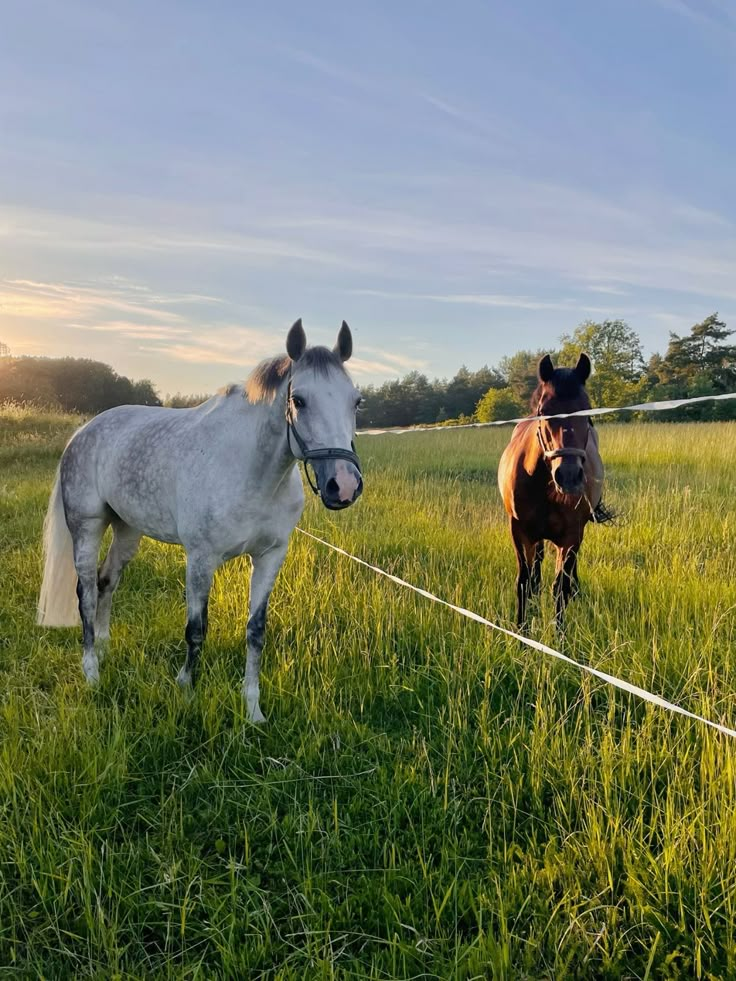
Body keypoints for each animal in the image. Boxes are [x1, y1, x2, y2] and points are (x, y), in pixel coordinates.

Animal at [37, 322, 366, 720]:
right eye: (299, 400)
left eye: (356, 401)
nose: (343, 486)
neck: (248, 469)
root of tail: (82, 432)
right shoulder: (200, 559)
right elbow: (196, 629)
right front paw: (187, 693)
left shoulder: (270, 557)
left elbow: (256, 630)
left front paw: (253, 710)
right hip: (86, 528)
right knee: (85, 594)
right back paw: (92, 673)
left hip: (127, 531)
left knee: (106, 583)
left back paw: (103, 649)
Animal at [494, 352, 608, 628]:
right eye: (544, 411)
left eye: (587, 410)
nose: (568, 475)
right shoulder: (520, 532)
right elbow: (524, 582)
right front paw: (522, 632)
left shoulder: (571, 536)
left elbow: (560, 588)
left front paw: (560, 635)